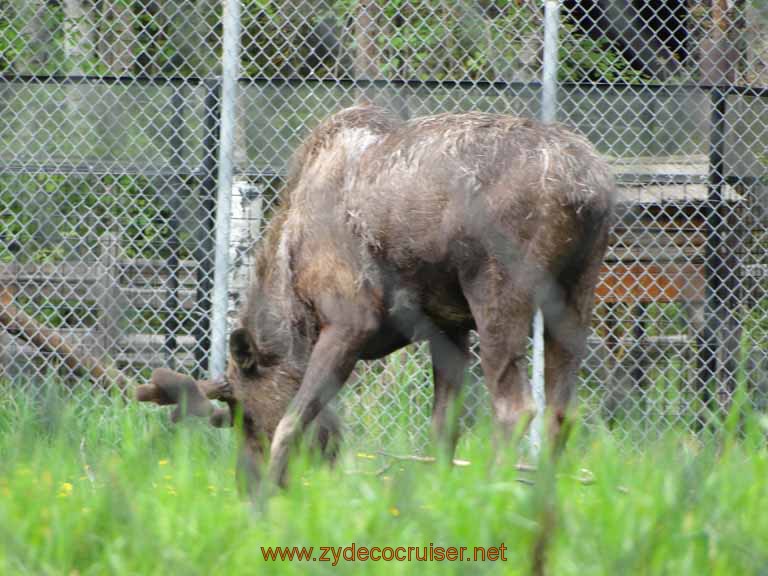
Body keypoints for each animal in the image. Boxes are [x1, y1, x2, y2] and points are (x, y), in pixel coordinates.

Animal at [138, 104, 616, 490]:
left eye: (248, 417)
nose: (245, 484)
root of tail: (588, 189)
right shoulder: (449, 326)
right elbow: (443, 428)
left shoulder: (351, 320)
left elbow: (292, 421)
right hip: (577, 289)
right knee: (563, 410)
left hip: (498, 288)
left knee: (515, 408)